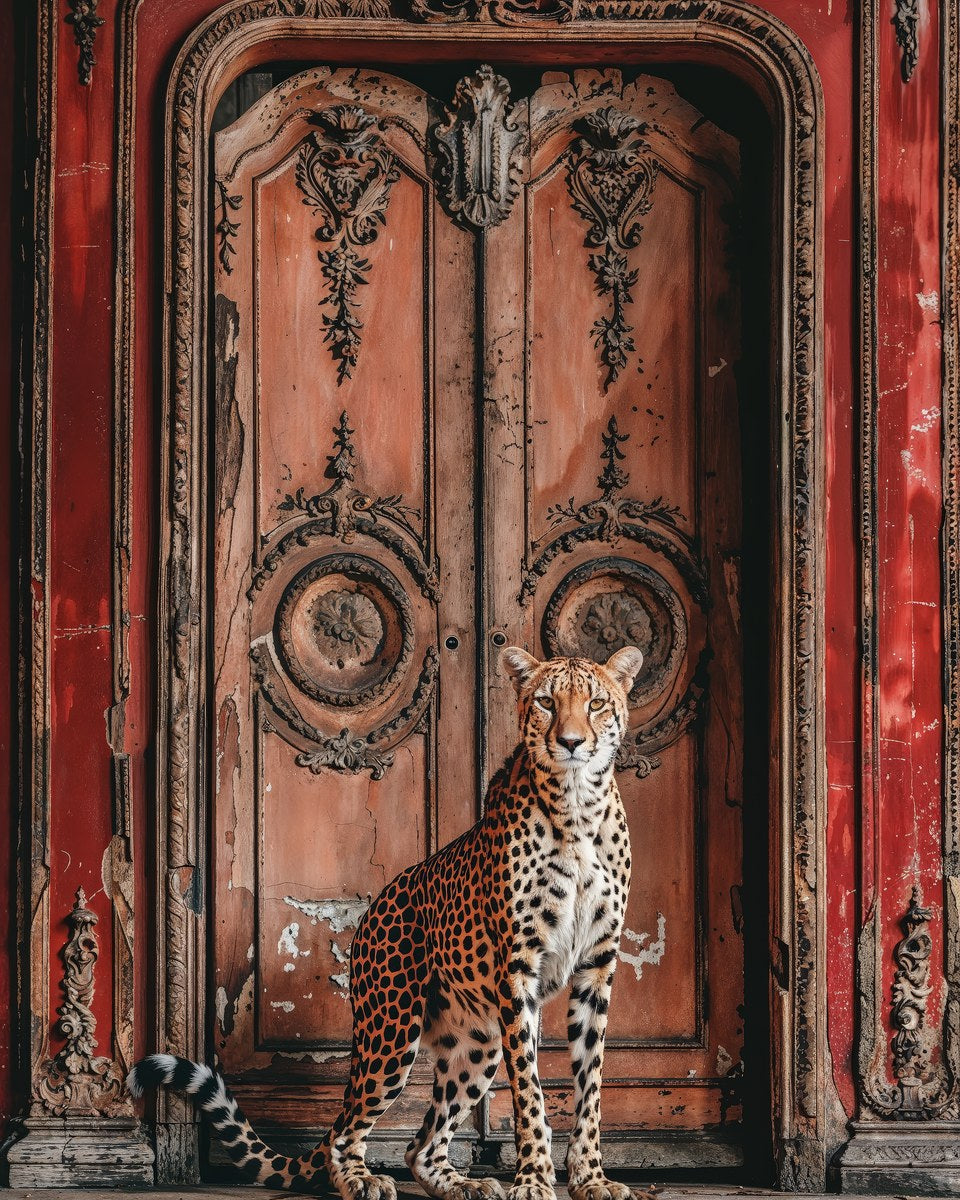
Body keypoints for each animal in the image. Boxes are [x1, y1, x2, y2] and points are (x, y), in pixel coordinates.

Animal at [129, 644, 646, 1200]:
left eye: (596, 703)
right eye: (547, 702)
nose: (571, 742)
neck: (577, 807)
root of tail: (373, 907)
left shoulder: (596, 967)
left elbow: (590, 1086)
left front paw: (591, 1178)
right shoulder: (519, 970)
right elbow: (529, 1089)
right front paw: (532, 1180)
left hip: (478, 1043)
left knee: (419, 1145)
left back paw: (463, 1184)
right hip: (393, 1030)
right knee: (346, 1130)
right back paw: (362, 1179)